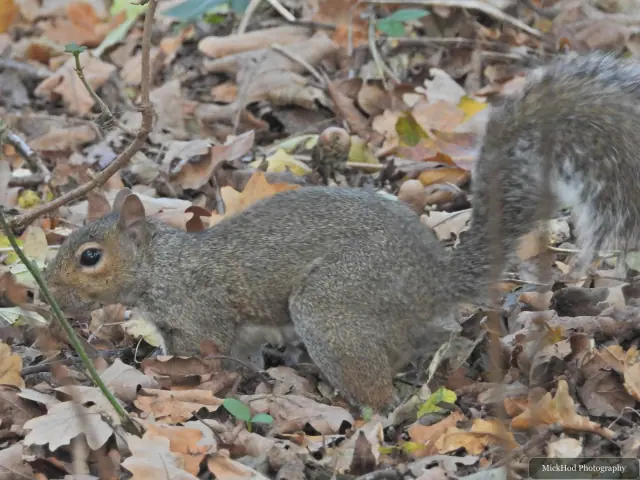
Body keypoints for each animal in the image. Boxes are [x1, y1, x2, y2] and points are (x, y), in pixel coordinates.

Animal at [43, 52, 640, 409]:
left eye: (90, 256)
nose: (49, 292)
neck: (162, 266)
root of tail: (433, 281)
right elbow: (243, 357)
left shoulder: (200, 315)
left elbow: (205, 357)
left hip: (333, 308)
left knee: (379, 388)